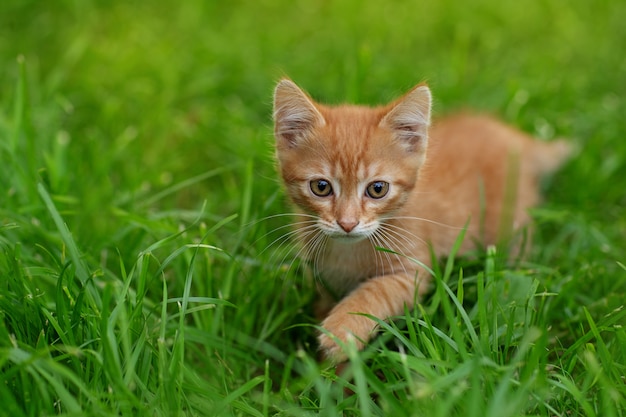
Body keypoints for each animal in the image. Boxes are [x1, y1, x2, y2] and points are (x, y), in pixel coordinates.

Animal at [270, 78, 568, 360]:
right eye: (321, 187)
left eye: (377, 189)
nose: (347, 223)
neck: (348, 252)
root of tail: (511, 135)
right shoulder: (320, 274)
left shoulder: (412, 271)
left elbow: (376, 292)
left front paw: (342, 330)